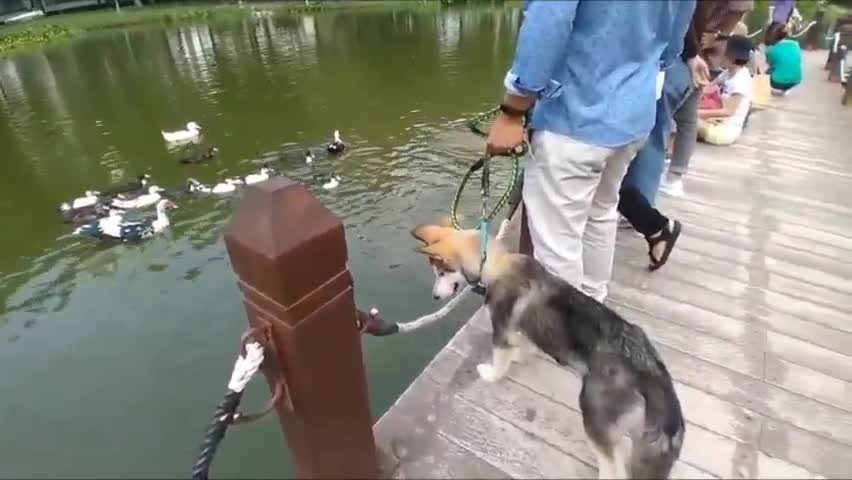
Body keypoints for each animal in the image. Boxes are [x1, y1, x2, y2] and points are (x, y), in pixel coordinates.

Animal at [412, 223, 684, 478]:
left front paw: (491, 374)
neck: (497, 264)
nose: (435, 297)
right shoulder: (524, 328)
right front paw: (520, 356)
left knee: (614, 465)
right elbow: (525, 345)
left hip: (594, 412)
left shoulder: (500, 329)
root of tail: (650, 368)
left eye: (442, 272)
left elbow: (500, 358)